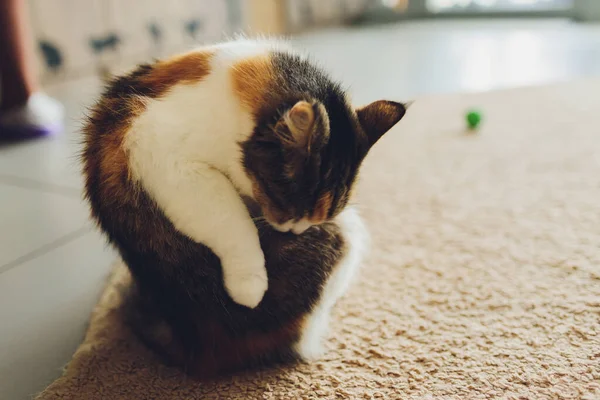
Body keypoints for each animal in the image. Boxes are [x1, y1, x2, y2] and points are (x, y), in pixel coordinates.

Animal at [81, 39, 408, 374]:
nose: (298, 231)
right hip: (347, 232)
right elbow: (228, 219)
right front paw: (249, 285)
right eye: (286, 204)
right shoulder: (162, 154)